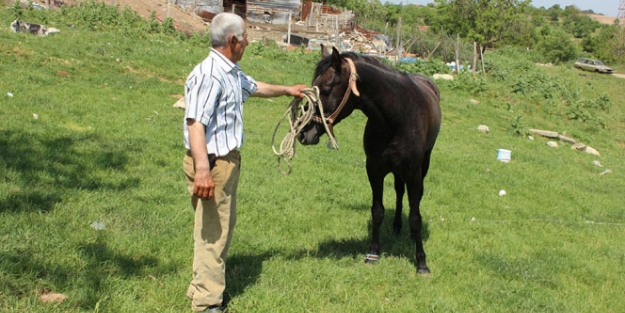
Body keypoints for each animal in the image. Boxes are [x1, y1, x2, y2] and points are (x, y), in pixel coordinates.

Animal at [296, 46, 438, 272]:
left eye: (325, 89)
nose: (303, 133)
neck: (396, 117)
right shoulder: (374, 169)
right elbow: (377, 211)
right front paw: (373, 253)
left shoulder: (413, 173)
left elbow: (415, 217)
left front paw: (421, 263)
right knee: (399, 191)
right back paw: (396, 227)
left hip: (424, 164)